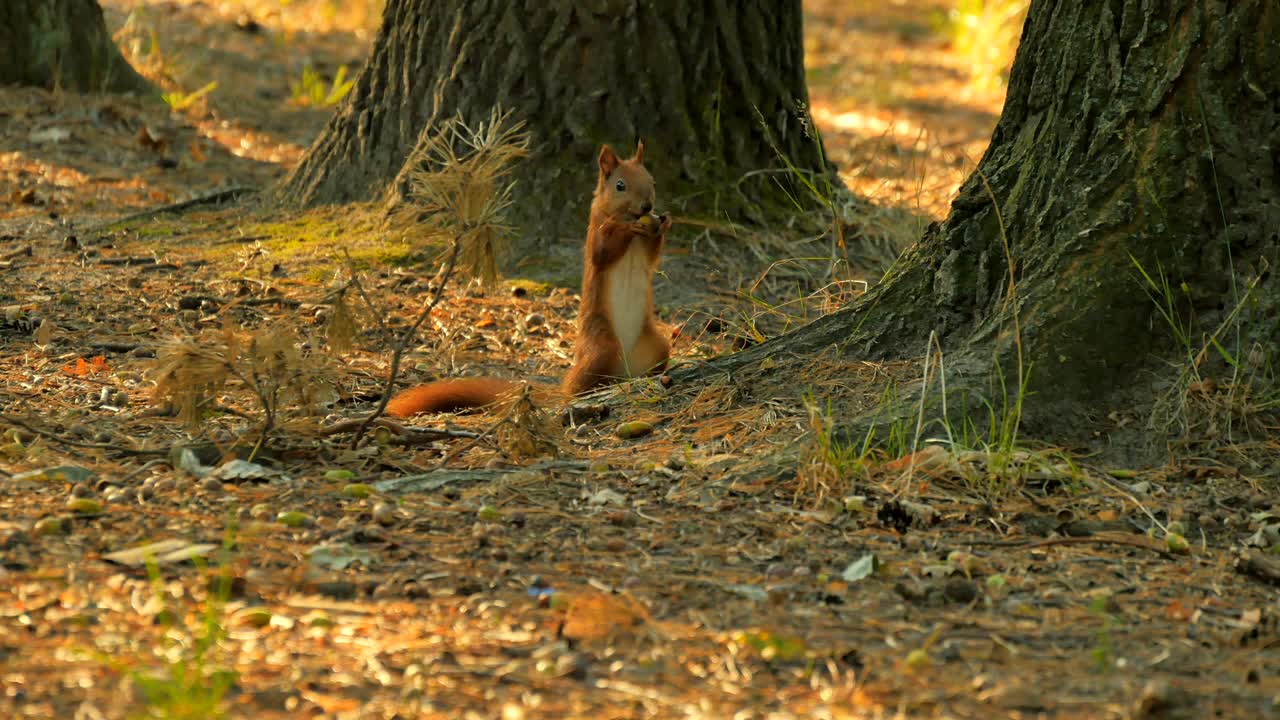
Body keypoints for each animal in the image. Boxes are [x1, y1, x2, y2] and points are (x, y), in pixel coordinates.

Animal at [385, 141, 673, 418]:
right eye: (620, 185)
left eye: (652, 180)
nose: (647, 206)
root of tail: (625, 372)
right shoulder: (596, 230)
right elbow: (603, 252)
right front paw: (630, 227)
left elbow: (652, 256)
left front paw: (665, 221)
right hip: (601, 349)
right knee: (578, 389)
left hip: (657, 346)